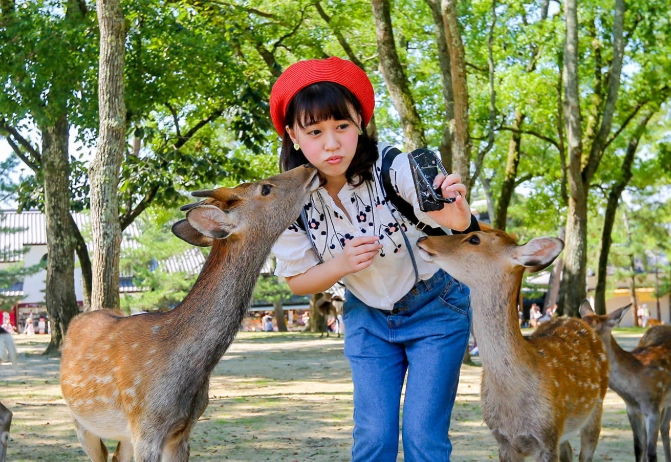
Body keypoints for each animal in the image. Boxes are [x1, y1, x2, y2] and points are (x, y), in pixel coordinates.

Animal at [417, 229, 609, 462]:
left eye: (474, 238)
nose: (423, 238)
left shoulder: (548, 436)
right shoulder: (503, 440)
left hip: (597, 407)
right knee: (568, 450)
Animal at [580, 301, 671, 462]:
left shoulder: (653, 408)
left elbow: (652, 453)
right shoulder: (632, 410)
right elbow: (639, 449)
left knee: (665, 428)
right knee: (664, 427)